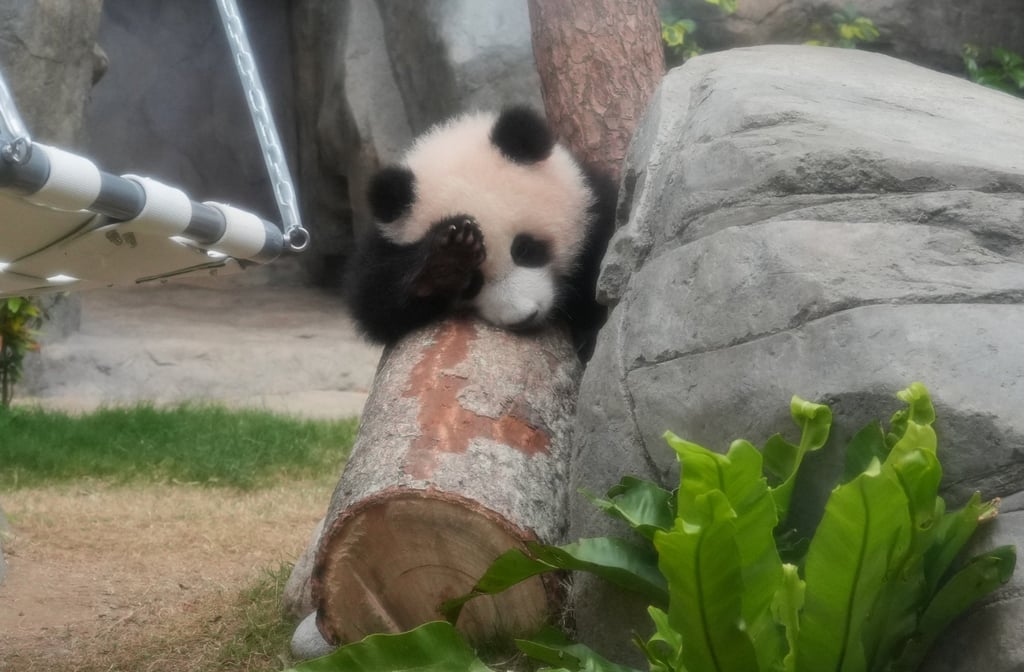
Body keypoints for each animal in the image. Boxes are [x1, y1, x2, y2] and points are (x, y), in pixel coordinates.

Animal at [344, 105, 617, 361]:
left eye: (525, 249)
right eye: (472, 282)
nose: (524, 317)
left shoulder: (592, 206)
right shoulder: (383, 245)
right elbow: (374, 302)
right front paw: (446, 262)